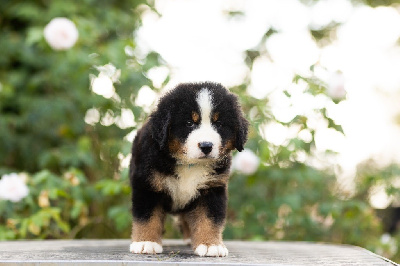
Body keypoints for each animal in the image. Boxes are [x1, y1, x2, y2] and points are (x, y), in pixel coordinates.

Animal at [129, 82, 247, 256]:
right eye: (189, 123)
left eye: (218, 124)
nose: (206, 146)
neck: (189, 164)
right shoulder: (147, 185)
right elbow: (147, 216)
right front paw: (146, 242)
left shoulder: (212, 188)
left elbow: (209, 219)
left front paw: (210, 244)